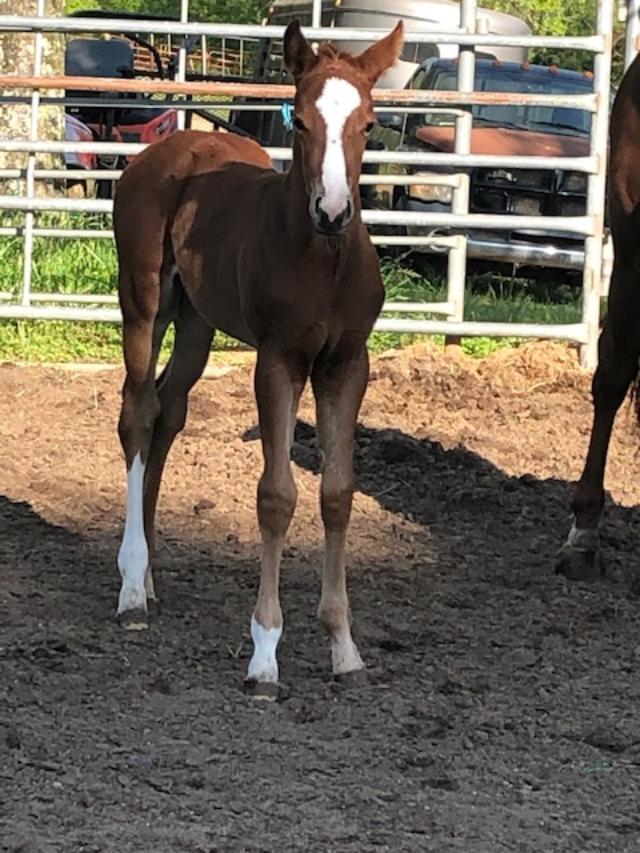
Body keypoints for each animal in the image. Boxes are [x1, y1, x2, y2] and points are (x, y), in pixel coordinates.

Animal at [112, 20, 404, 697]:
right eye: (300, 120)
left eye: (369, 123)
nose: (333, 210)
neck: (323, 262)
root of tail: (168, 149)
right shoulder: (278, 361)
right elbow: (276, 495)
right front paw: (265, 654)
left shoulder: (347, 365)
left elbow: (337, 492)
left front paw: (344, 647)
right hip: (143, 305)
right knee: (137, 414)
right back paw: (132, 586)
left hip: (196, 323)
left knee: (167, 412)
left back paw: (153, 576)